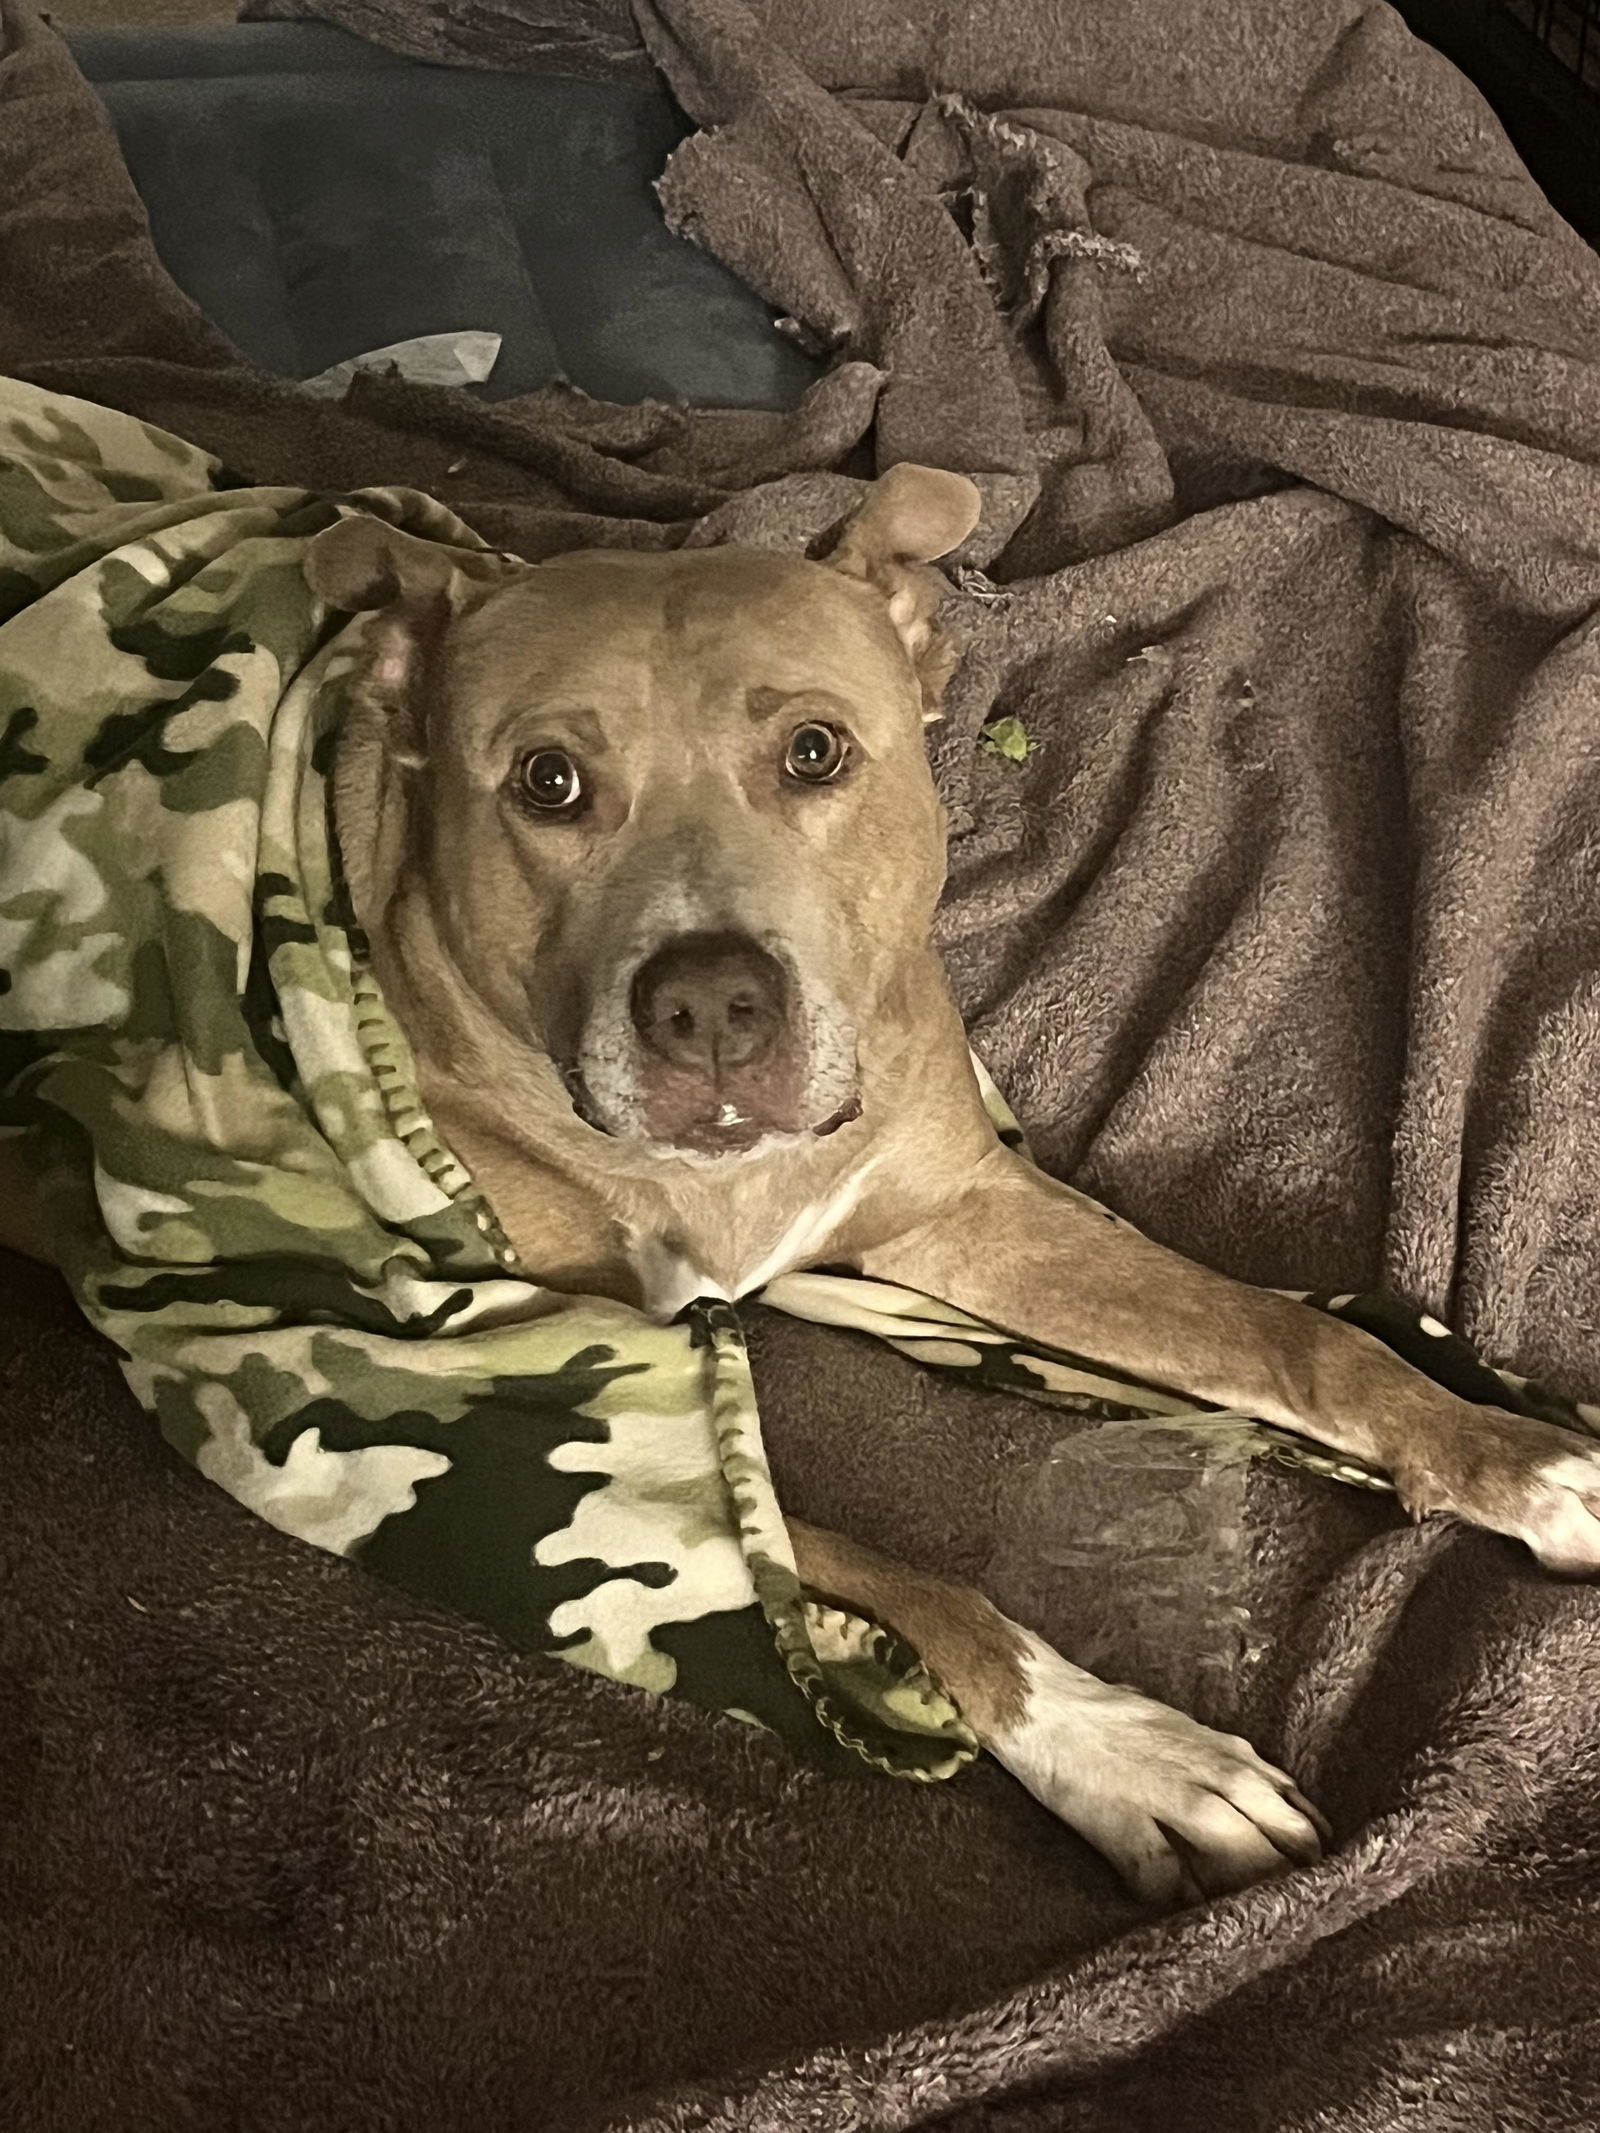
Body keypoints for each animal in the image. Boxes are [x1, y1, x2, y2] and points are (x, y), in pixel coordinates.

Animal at [6, 462, 1595, 1902]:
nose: (710, 1002)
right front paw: (1127, 1749)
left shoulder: (971, 1211)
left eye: (817, 753)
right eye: (548, 781)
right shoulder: (500, 1375)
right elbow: (894, 1577)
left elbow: (1290, 1337)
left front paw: (1505, 1453)